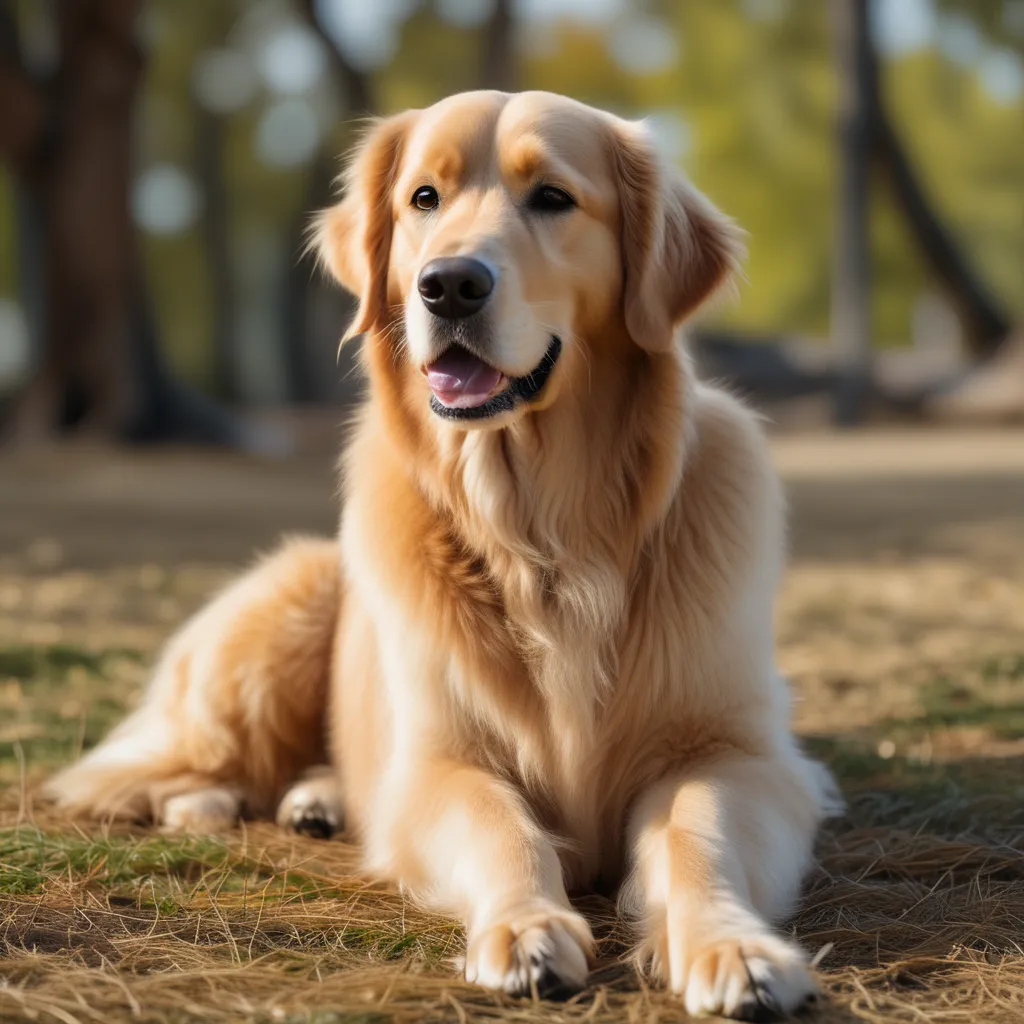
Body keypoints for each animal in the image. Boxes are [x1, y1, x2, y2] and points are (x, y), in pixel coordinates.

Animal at [46, 92, 839, 1019]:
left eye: (554, 198)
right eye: (424, 198)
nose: (449, 283)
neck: (542, 537)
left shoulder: (733, 753)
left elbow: (698, 834)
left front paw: (731, 946)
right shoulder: (441, 759)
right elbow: (501, 829)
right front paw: (525, 928)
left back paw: (317, 800)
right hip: (286, 610)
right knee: (145, 767)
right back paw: (215, 800)